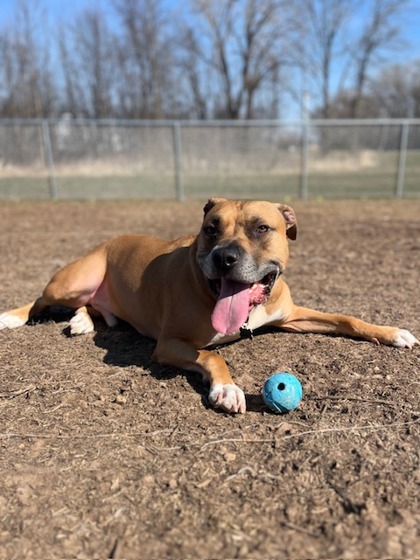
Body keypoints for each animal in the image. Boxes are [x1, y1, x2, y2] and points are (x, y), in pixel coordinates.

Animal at [1, 199, 418, 414]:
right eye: (211, 228)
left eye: (261, 228)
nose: (225, 257)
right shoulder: (168, 344)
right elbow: (212, 355)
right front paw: (227, 389)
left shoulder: (291, 315)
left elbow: (346, 317)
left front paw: (391, 332)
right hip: (74, 281)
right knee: (41, 300)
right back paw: (12, 316)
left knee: (92, 309)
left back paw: (83, 323)